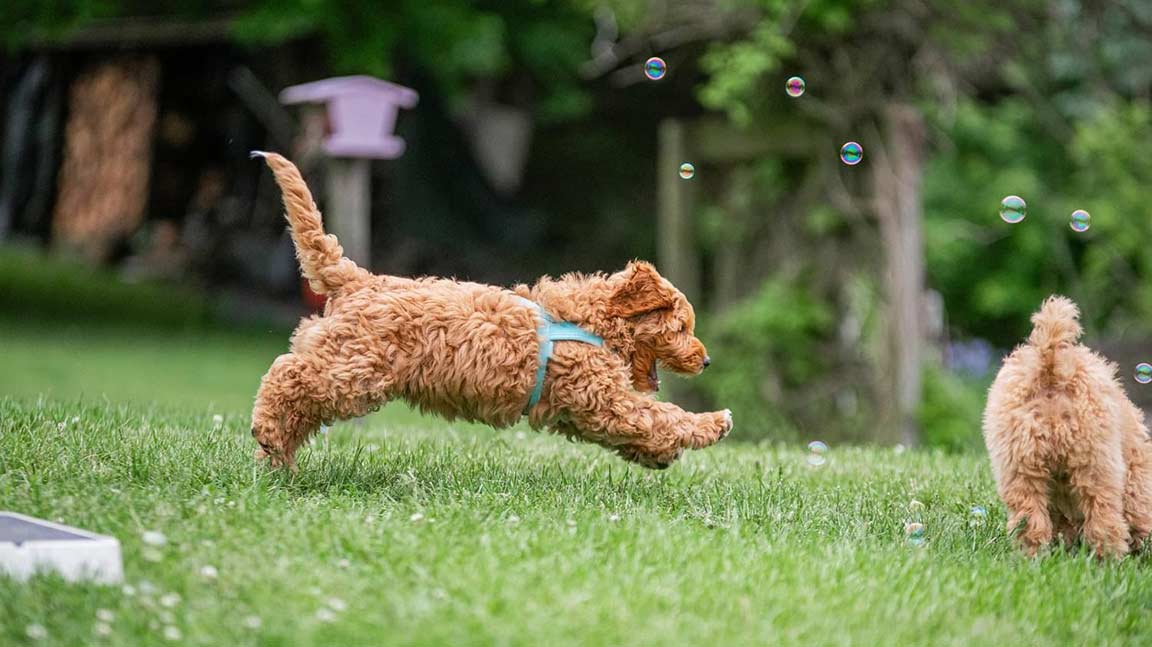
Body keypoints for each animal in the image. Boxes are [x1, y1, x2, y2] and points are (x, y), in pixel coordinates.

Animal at [248, 154, 732, 472]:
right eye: (683, 327)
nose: (707, 360)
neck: (592, 320)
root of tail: (359, 280)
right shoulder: (604, 398)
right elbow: (658, 414)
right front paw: (712, 423)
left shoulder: (583, 411)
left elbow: (643, 424)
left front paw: (660, 454)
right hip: (354, 368)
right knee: (287, 374)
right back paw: (267, 434)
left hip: (343, 359)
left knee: (301, 404)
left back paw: (276, 460)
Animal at [981, 297, 1152, 554]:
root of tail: (1050, 367)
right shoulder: (1133, 478)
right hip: (1095, 464)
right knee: (1103, 517)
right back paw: (1109, 557)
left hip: (1019, 466)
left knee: (1029, 517)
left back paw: (1033, 556)